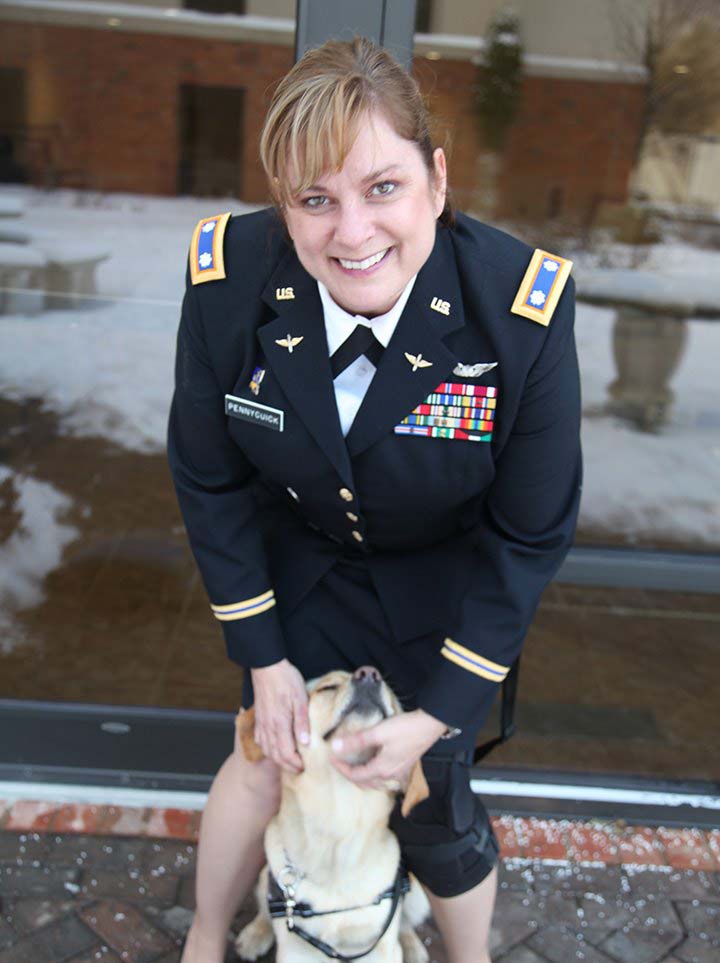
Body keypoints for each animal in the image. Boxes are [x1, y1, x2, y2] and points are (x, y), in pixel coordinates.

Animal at [233, 668, 430, 963]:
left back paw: (413, 947)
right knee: (266, 912)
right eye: (328, 687)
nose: (369, 673)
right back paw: (254, 935)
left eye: (394, 705)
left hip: (417, 896)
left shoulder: (380, 947)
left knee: (405, 921)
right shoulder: (293, 950)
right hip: (263, 876)